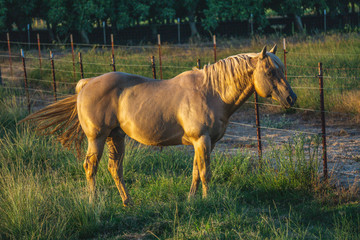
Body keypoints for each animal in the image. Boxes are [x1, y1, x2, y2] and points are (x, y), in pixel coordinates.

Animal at [23, 45, 298, 206]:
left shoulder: (203, 143)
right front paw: (207, 200)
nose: (291, 99)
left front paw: (191, 201)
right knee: (91, 168)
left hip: (116, 137)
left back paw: (128, 202)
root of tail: (86, 83)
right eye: (270, 72)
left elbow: (195, 172)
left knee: (115, 168)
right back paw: (93, 203)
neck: (211, 91)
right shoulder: (202, 140)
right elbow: (205, 173)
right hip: (97, 138)